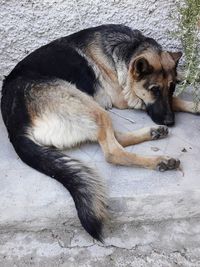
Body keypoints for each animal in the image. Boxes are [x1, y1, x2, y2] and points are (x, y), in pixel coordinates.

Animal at [1, 24, 198, 242]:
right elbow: (170, 102)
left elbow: (178, 93)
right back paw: (159, 161)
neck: (128, 48)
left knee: (113, 137)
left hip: (89, 109)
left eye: (172, 87)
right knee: (113, 152)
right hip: (89, 105)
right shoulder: (124, 98)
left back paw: (154, 132)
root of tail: (15, 125)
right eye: (154, 89)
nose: (170, 122)